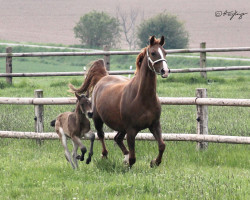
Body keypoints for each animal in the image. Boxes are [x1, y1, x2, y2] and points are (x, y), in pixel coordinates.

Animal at [69, 36, 169, 167]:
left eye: (165, 52)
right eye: (153, 53)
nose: (165, 71)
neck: (143, 98)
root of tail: (103, 77)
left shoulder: (155, 125)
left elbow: (162, 145)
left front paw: (154, 162)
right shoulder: (131, 130)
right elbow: (133, 158)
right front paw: (129, 165)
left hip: (121, 127)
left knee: (117, 138)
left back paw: (124, 157)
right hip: (98, 119)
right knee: (101, 135)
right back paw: (105, 155)